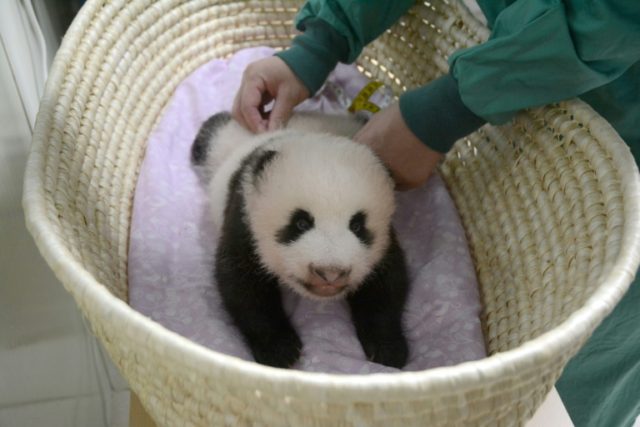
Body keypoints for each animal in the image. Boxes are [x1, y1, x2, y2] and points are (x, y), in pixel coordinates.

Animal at [192, 112, 408, 370]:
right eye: (301, 223)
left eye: (357, 225)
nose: (330, 273)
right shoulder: (245, 217)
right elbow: (241, 283)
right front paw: (280, 350)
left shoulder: (383, 243)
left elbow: (386, 284)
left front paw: (388, 348)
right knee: (213, 134)